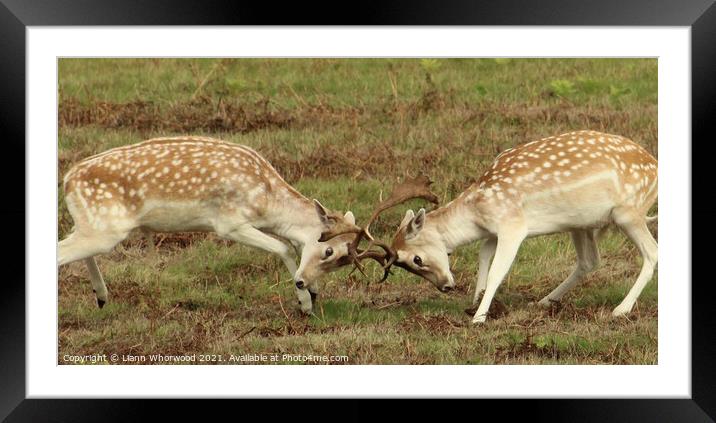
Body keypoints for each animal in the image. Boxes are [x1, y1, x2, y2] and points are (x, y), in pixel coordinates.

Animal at [56, 136, 360, 314]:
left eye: (343, 261)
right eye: (329, 251)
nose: (303, 282)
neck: (267, 202)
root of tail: (68, 180)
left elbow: (289, 245)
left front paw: (312, 294)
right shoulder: (229, 223)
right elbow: (284, 247)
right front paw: (304, 303)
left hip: (92, 225)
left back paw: (101, 297)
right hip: (104, 228)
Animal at [324, 132, 660, 324]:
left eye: (415, 259)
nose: (446, 286)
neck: (478, 211)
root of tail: (655, 168)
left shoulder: (513, 225)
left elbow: (499, 269)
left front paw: (479, 317)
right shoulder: (491, 233)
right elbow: (483, 259)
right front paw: (475, 302)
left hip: (628, 212)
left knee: (653, 252)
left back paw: (620, 310)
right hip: (581, 222)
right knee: (590, 260)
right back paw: (544, 301)